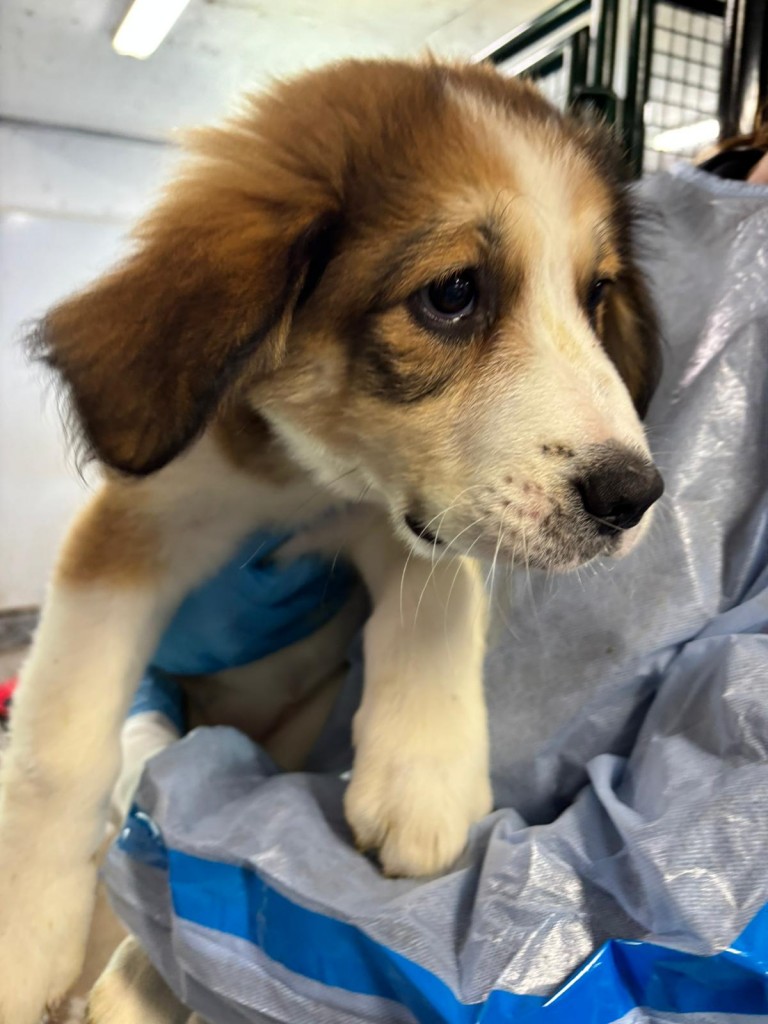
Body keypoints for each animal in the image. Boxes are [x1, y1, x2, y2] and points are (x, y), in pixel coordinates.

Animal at [0, 58, 663, 1022]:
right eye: (452, 293)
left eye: (595, 294)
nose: (636, 496)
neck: (304, 481)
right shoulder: (132, 530)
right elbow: (57, 747)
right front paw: (21, 929)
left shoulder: (393, 521)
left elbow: (438, 589)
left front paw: (422, 771)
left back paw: (137, 976)